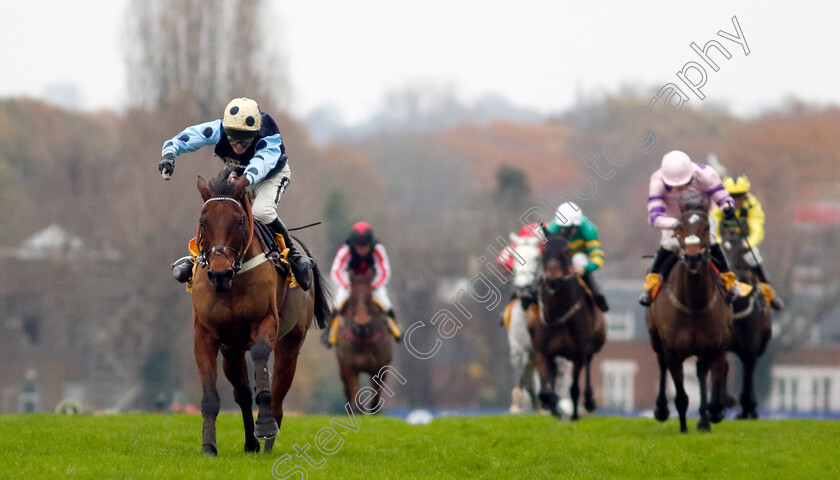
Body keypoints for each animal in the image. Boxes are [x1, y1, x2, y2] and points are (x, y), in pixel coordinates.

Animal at [190, 168, 332, 454]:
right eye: (203, 221)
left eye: (239, 221)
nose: (219, 274)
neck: (233, 281)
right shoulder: (206, 335)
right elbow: (212, 396)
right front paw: (209, 446)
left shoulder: (265, 322)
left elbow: (262, 373)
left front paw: (264, 425)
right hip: (231, 350)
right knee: (242, 393)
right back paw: (251, 444)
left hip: (291, 342)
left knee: (277, 396)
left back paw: (267, 443)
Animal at [334, 270, 394, 412]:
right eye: (352, 298)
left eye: (369, 297)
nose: (361, 323)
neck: (363, 336)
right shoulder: (349, 366)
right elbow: (356, 398)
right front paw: (356, 409)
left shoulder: (380, 367)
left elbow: (375, 399)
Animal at [532, 232, 604, 420]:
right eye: (543, 251)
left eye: (566, 251)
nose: (553, 280)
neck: (559, 312)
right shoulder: (542, 352)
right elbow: (546, 392)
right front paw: (554, 409)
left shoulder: (579, 351)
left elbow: (574, 388)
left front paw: (574, 415)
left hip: (592, 345)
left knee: (588, 365)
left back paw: (588, 402)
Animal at [648, 201, 732, 434]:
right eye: (680, 227)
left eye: (706, 227)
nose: (693, 256)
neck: (694, 303)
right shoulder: (673, 351)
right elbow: (681, 396)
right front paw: (683, 427)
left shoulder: (716, 347)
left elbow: (714, 380)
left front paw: (714, 413)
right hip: (656, 339)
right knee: (661, 364)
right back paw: (662, 410)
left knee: (701, 371)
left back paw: (704, 420)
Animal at [720, 230, 776, 420]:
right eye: (721, 248)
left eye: (740, 250)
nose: (729, 271)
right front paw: (724, 400)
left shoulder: (751, 347)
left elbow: (748, 373)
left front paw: (748, 408)